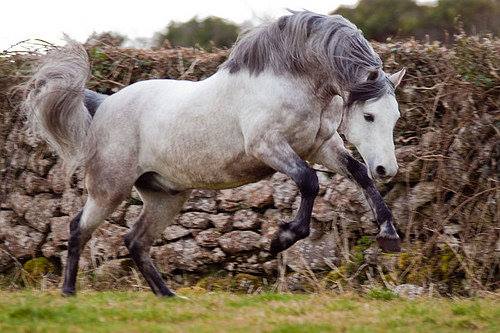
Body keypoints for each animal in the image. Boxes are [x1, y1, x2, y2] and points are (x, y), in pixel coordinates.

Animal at [22, 10, 406, 296]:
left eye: (395, 116)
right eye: (369, 116)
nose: (387, 169)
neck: (290, 79)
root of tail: (103, 105)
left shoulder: (321, 146)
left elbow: (357, 174)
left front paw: (389, 236)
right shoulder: (268, 146)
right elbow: (309, 182)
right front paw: (281, 239)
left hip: (165, 197)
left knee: (135, 241)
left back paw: (168, 296)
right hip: (109, 189)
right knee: (78, 229)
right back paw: (68, 293)